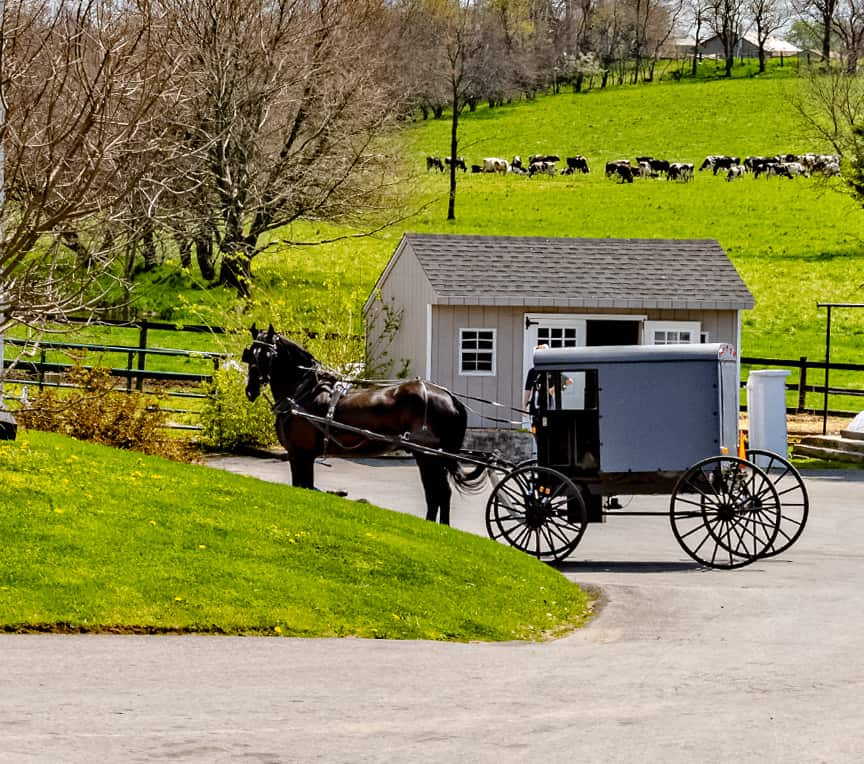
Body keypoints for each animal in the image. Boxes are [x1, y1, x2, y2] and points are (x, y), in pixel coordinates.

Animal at [243, 322, 486, 524]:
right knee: (437, 493)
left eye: (266, 354)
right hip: (430, 457)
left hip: (429, 455)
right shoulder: (301, 455)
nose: (251, 388)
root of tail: (450, 397)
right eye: (250, 354)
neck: (305, 393)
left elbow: (303, 485)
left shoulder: (300, 454)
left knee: (439, 493)